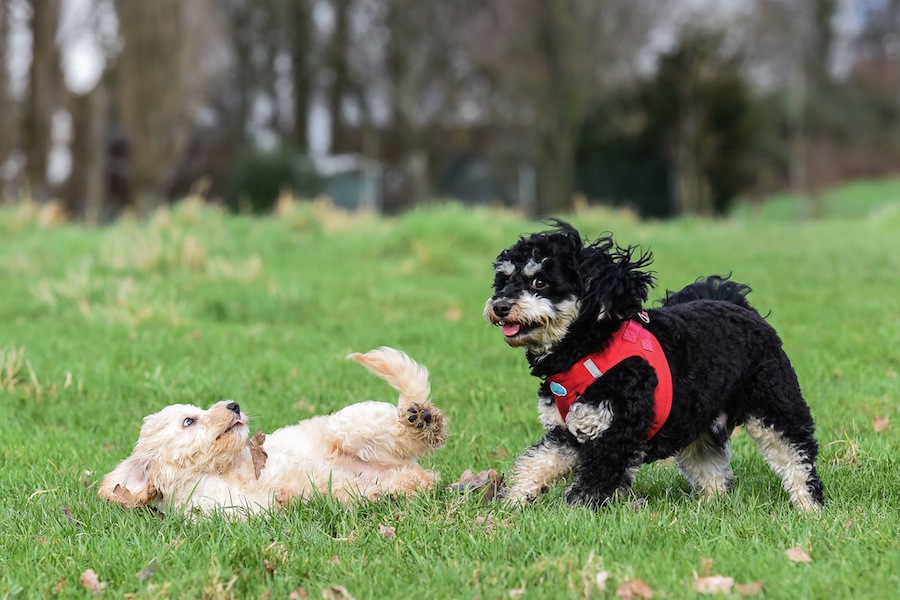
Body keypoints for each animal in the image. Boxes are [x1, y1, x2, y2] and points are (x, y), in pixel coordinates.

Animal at [97, 346, 446, 516]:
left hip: (353, 426)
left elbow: (325, 479)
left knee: (400, 432)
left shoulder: (287, 465)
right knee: (419, 478)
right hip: (401, 468)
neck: (220, 472)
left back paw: (423, 419)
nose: (234, 405)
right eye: (189, 421)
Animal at [486, 220, 824, 510]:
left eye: (540, 281)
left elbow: (591, 487)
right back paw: (709, 507)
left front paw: (571, 517)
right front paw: (511, 504)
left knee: (797, 458)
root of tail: (736, 305)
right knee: (713, 472)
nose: (499, 306)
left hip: (774, 406)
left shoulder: (617, 434)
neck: (586, 349)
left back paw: (809, 507)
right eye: (503, 281)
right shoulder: (567, 433)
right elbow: (536, 464)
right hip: (698, 423)